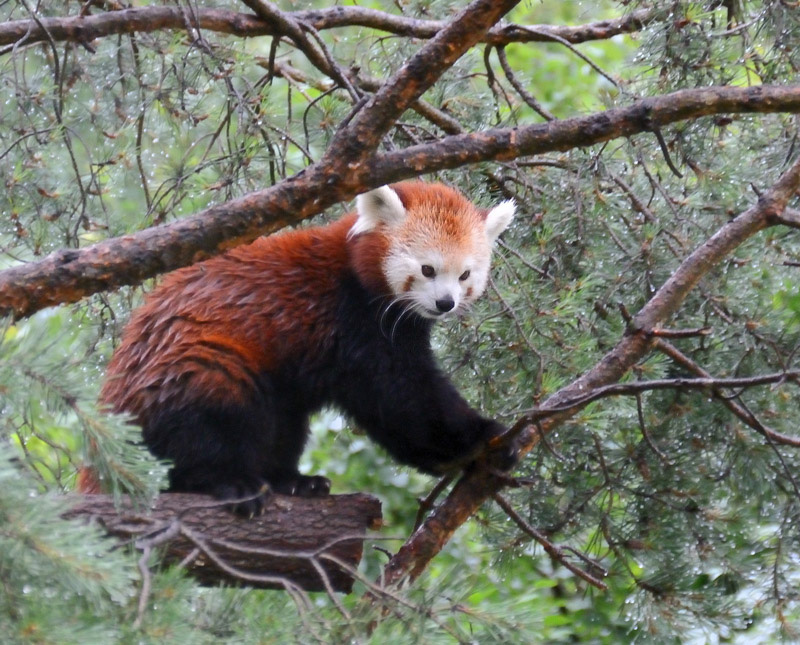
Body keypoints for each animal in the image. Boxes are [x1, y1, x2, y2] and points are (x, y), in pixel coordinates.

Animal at [98, 181, 520, 512]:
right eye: (427, 269)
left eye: (465, 275)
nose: (445, 303)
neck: (356, 272)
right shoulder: (355, 323)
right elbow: (404, 401)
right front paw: (480, 439)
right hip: (196, 365)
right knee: (206, 420)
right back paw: (228, 483)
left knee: (283, 421)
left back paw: (290, 480)